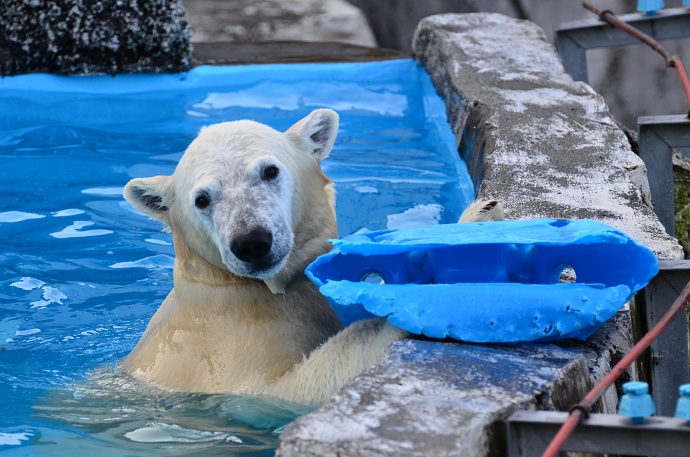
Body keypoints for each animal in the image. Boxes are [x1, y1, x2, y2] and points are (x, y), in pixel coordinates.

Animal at [122, 108, 500, 404]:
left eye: (270, 170)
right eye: (202, 199)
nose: (251, 242)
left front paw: (478, 218)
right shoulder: (224, 358)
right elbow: (294, 388)